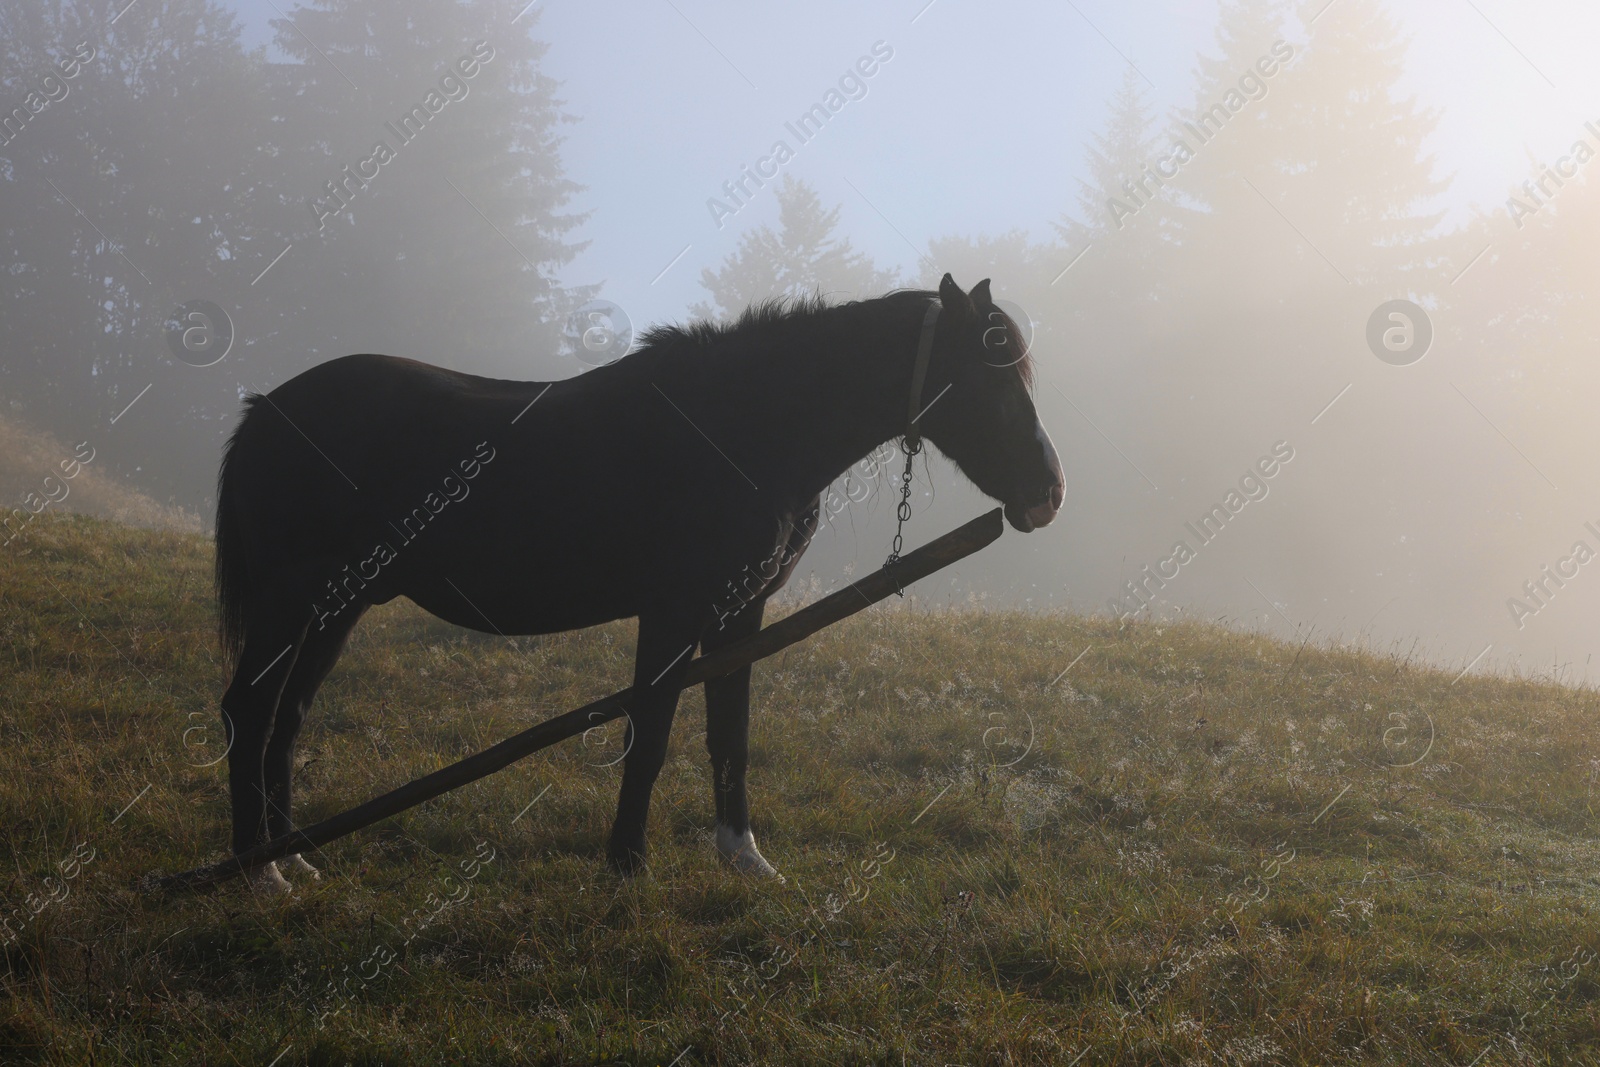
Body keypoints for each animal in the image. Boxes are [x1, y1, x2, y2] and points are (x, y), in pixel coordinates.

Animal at [212, 271, 1062, 889]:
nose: (1048, 493)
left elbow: (728, 733)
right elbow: (649, 732)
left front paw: (744, 856)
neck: (745, 425)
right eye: (990, 380)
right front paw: (625, 864)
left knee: (288, 717)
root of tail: (263, 411)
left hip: (338, 606)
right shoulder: (674, 611)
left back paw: (288, 856)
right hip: (294, 602)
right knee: (250, 711)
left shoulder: (740, 613)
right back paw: (259, 876)